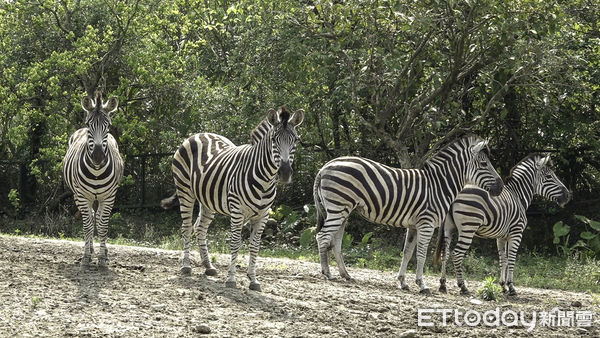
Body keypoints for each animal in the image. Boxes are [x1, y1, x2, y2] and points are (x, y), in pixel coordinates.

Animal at [62, 90, 124, 270]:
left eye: (108, 126)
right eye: (90, 125)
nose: (97, 157)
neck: (96, 171)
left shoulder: (109, 197)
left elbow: (102, 225)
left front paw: (102, 259)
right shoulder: (83, 196)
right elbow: (88, 225)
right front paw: (86, 258)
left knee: (97, 217)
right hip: (78, 195)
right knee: (89, 217)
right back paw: (89, 251)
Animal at [159, 105, 302, 290]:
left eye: (296, 140)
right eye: (273, 140)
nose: (284, 173)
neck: (265, 180)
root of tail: (197, 134)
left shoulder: (263, 215)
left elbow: (255, 246)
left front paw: (253, 280)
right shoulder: (237, 211)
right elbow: (235, 243)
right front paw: (231, 279)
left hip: (208, 199)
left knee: (200, 228)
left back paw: (208, 266)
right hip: (185, 191)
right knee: (187, 227)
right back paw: (186, 266)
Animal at [312, 135, 504, 294]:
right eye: (484, 164)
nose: (501, 187)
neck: (439, 185)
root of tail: (324, 167)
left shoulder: (413, 226)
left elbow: (407, 252)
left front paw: (403, 282)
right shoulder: (426, 223)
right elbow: (421, 254)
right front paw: (422, 284)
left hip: (342, 210)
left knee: (335, 242)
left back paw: (345, 274)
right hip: (338, 207)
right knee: (322, 236)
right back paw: (327, 273)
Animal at [436, 153, 568, 296]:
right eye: (549, 176)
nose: (567, 195)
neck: (518, 196)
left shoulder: (501, 237)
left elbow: (503, 260)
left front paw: (503, 286)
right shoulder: (516, 233)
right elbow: (511, 259)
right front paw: (511, 287)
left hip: (448, 228)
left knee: (445, 253)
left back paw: (443, 284)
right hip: (468, 227)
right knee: (457, 254)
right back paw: (463, 286)